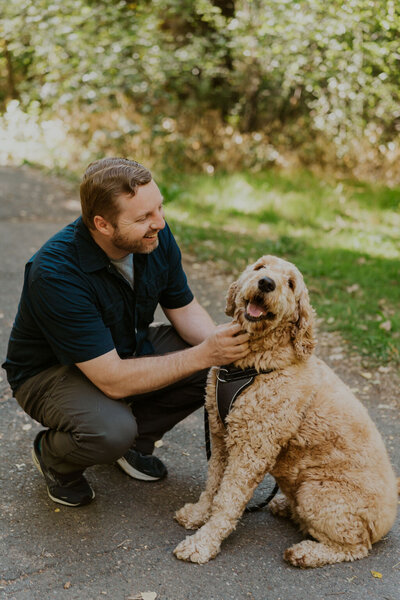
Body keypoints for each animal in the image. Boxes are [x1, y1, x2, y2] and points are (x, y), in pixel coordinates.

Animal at [173, 255, 398, 564]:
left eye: (290, 283)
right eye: (260, 267)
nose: (267, 283)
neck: (254, 363)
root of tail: (388, 518)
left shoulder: (250, 450)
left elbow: (226, 500)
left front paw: (202, 543)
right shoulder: (220, 437)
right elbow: (212, 487)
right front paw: (198, 514)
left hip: (317, 492)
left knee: (355, 546)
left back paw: (306, 553)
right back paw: (285, 507)